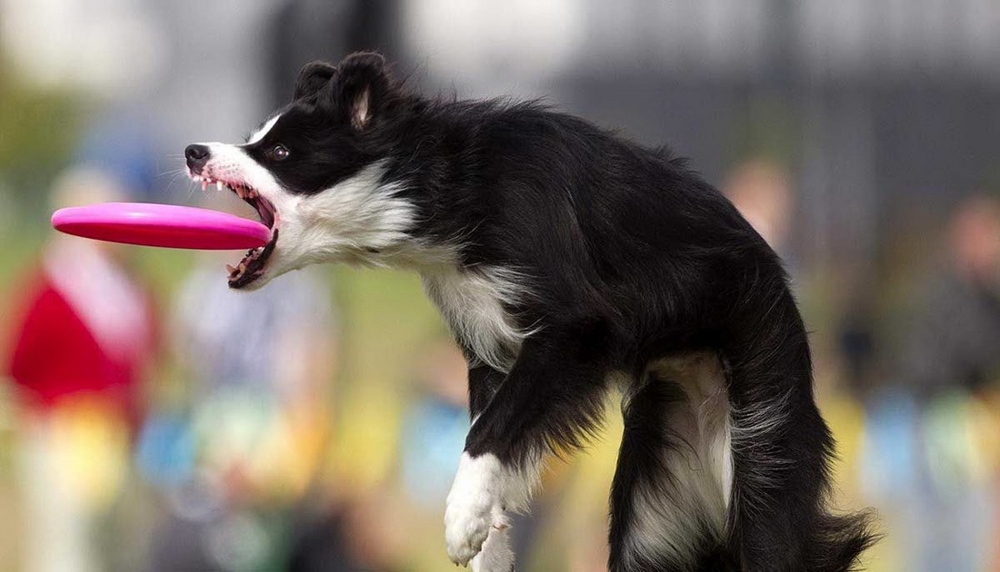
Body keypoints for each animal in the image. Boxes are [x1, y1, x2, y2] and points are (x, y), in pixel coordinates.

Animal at [184, 51, 872, 568]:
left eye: (280, 154)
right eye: (252, 140)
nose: (193, 151)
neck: (451, 188)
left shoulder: (575, 326)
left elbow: (488, 430)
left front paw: (460, 524)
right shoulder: (488, 339)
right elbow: (493, 420)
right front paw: (488, 546)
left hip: (760, 440)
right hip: (658, 489)